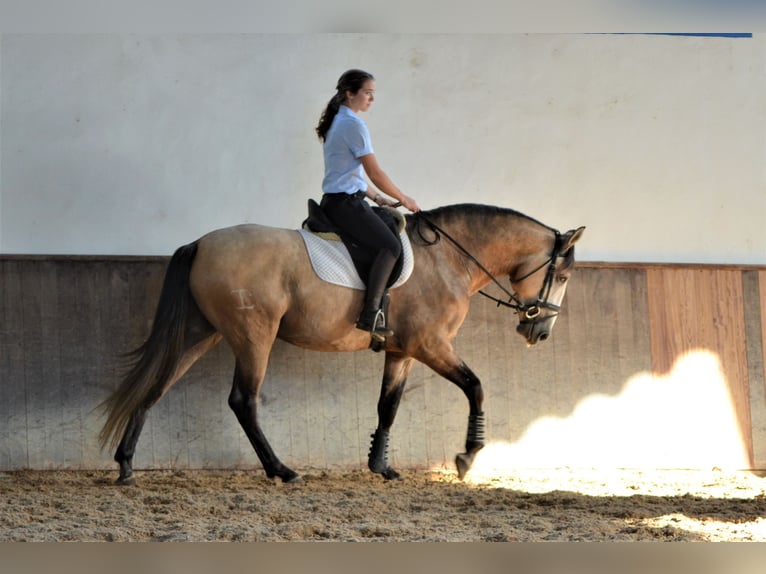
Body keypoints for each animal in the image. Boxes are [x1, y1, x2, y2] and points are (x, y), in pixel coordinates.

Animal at [99, 205, 584, 484]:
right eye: (562, 275)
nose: (540, 333)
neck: (449, 260)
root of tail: (201, 243)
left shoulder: (402, 351)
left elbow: (388, 406)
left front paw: (381, 466)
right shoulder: (431, 345)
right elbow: (476, 386)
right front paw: (467, 456)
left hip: (203, 333)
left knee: (157, 386)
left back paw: (126, 465)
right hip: (254, 335)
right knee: (243, 400)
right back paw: (281, 470)